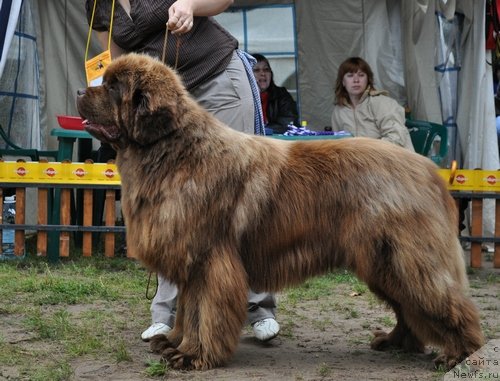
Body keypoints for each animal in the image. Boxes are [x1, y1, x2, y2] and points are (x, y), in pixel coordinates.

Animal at [77, 52, 480, 368]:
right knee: (408, 308)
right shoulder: (191, 261)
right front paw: (175, 343)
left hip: (406, 259)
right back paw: (396, 342)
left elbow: (203, 312)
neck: (173, 152)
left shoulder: (210, 260)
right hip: (382, 262)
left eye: (114, 88)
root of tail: (428, 169)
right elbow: (188, 311)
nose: (80, 91)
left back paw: (459, 354)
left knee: (443, 301)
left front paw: (193, 355)